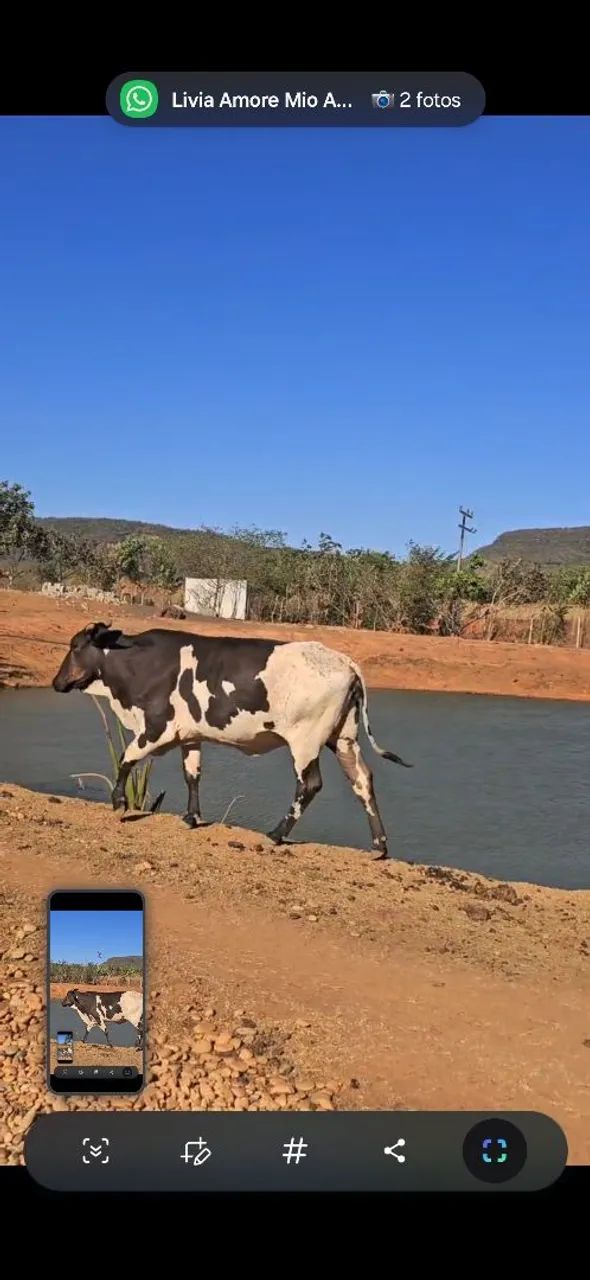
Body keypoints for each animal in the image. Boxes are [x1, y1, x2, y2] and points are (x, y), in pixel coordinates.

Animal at [52, 622, 411, 857]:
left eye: (74, 646)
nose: (56, 682)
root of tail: (343, 660)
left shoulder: (156, 727)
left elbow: (126, 758)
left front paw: (119, 802)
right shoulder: (190, 735)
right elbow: (192, 774)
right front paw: (192, 817)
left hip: (305, 740)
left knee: (309, 784)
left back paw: (276, 834)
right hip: (344, 739)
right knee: (362, 780)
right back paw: (379, 846)